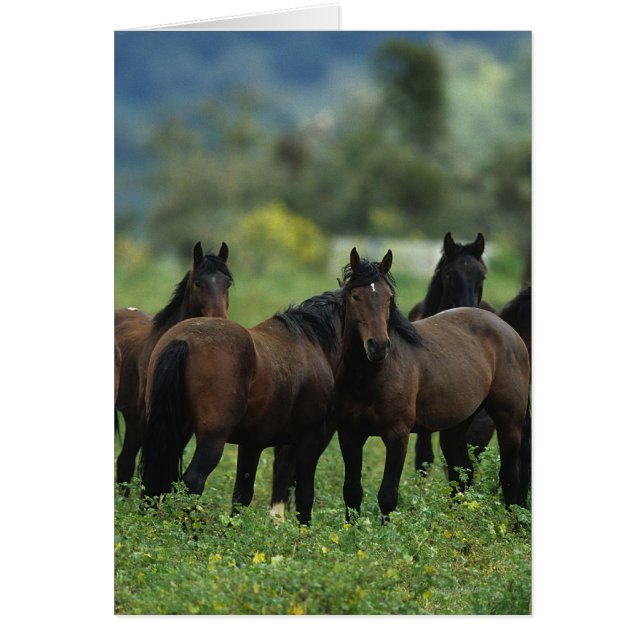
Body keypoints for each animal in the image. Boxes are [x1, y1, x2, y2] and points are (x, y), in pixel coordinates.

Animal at [139, 290, 344, 525]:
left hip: (174, 430)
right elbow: (304, 492)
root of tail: (182, 341)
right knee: (193, 480)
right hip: (212, 439)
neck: (311, 340)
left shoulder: (252, 443)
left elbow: (242, 494)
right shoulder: (310, 437)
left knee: (153, 476)